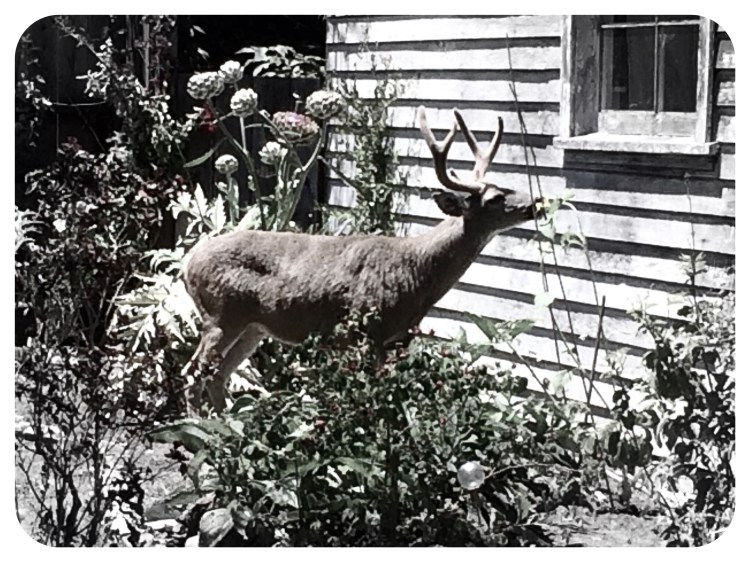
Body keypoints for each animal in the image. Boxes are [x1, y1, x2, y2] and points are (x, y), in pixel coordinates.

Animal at [181, 106, 544, 414]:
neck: (417, 272)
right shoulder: (370, 330)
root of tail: (187, 263)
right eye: (495, 198)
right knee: (194, 373)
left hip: (253, 326)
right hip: (221, 314)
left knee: (217, 374)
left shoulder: (399, 338)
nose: (535, 203)